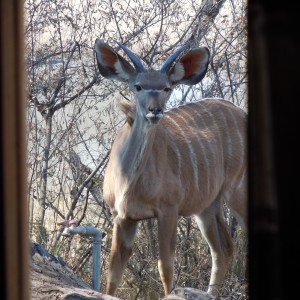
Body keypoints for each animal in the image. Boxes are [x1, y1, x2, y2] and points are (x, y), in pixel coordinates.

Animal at [95, 38, 247, 298]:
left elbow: (165, 267)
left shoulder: (168, 210)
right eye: (137, 86)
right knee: (223, 249)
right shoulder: (122, 217)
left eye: (167, 88)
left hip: (237, 192)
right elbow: (113, 272)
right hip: (208, 206)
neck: (128, 183)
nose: (155, 110)